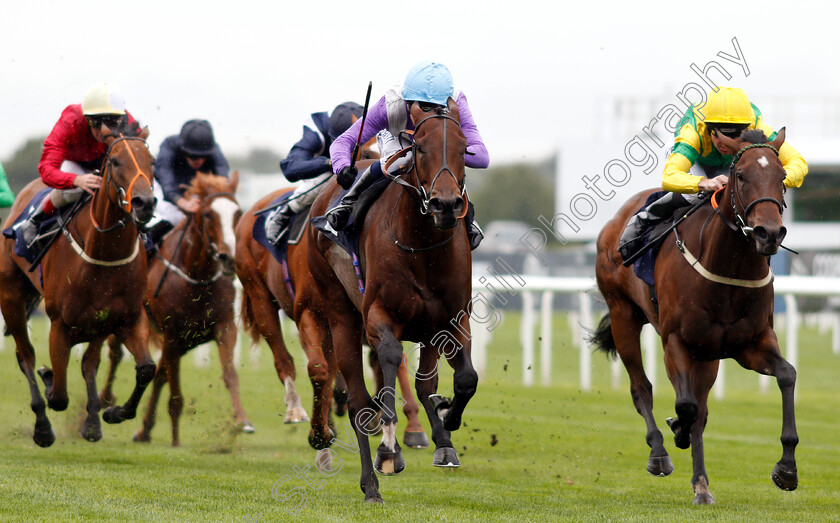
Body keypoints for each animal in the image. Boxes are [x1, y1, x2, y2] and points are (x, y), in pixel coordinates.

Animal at [0, 133, 157, 448]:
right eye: (115, 161)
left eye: (153, 161)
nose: (144, 203)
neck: (104, 252)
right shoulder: (59, 324)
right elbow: (59, 395)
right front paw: (49, 382)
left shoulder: (128, 317)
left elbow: (146, 368)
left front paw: (113, 412)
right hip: (11, 297)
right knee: (26, 356)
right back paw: (43, 425)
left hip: (97, 323)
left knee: (89, 362)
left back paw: (93, 422)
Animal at [100, 172, 248, 446]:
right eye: (208, 214)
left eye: (238, 212)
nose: (228, 258)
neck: (197, 277)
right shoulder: (172, 334)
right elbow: (175, 392)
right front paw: (176, 441)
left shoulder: (223, 327)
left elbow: (230, 374)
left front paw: (242, 421)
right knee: (114, 353)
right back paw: (104, 399)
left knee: (158, 373)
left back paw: (144, 429)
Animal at [308, 98, 480, 504]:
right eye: (418, 147)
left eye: (465, 147)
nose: (445, 204)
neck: (423, 248)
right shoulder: (378, 318)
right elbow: (388, 363)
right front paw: (389, 449)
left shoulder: (453, 319)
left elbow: (464, 378)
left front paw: (448, 420)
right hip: (340, 313)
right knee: (358, 400)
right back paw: (371, 484)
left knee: (422, 384)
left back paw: (441, 440)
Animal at [592, 129, 800, 506]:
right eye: (740, 175)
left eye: (782, 178)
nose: (769, 233)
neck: (729, 268)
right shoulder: (676, 341)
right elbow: (685, 405)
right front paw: (677, 429)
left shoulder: (751, 344)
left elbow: (787, 375)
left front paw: (787, 469)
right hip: (622, 315)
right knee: (642, 388)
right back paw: (660, 452)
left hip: (708, 355)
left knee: (699, 409)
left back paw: (701, 485)